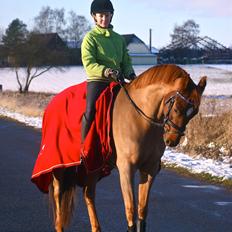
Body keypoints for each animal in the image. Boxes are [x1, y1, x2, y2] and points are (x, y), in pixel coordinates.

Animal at [49, 64, 207, 232]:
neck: (141, 119)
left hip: (93, 166)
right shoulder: (126, 169)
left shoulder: (149, 168)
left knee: (88, 193)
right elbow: (130, 209)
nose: (172, 140)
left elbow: (142, 210)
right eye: (176, 108)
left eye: (194, 112)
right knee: (58, 195)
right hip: (60, 168)